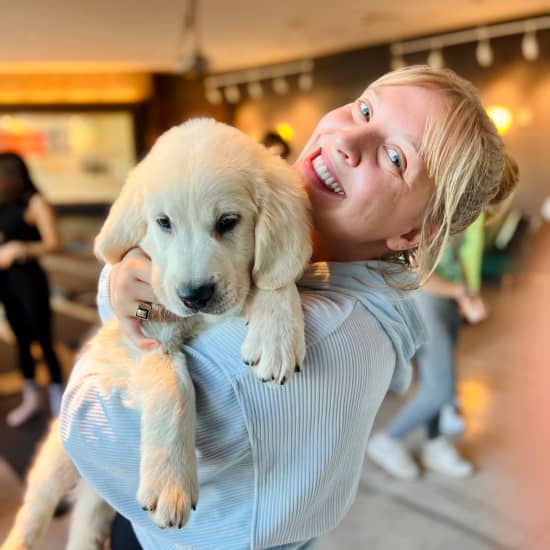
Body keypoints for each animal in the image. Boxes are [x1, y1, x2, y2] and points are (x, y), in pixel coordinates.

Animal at [0, 118, 312, 548]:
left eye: (228, 222)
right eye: (164, 223)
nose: (195, 295)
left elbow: (273, 279)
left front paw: (277, 336)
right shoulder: (146, 337)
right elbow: (173, 387)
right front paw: (171, 486)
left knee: (86, 514)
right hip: (60, 456)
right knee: (37, 505)